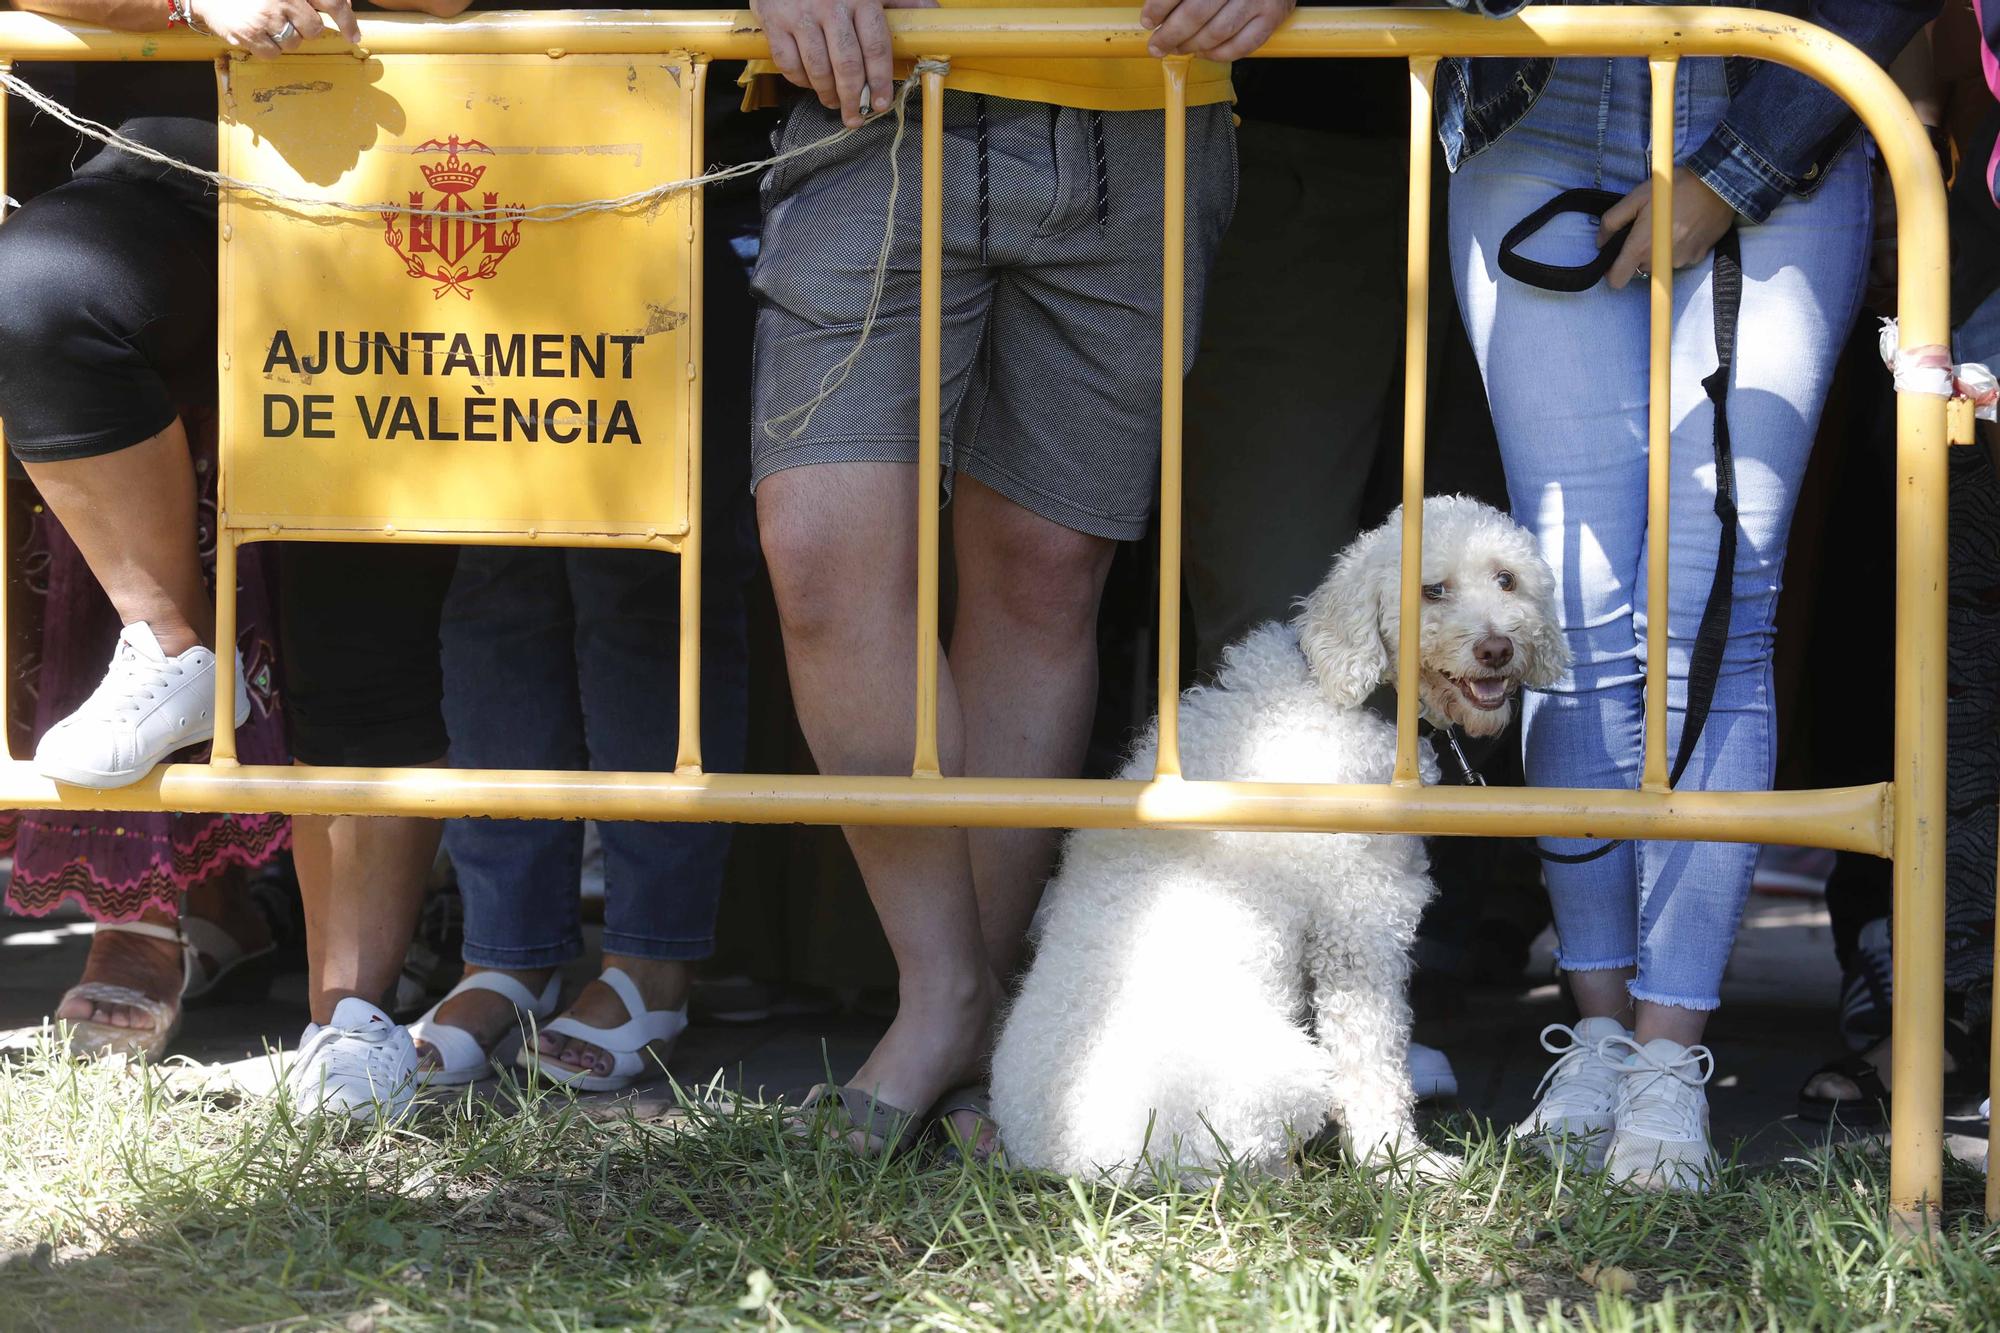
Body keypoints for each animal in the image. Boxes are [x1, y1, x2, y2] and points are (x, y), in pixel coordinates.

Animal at [992, 496, 1568, 1176]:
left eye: (1507, 579)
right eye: (1432, 590)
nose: (1498, 648)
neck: (1341, 694)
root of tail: (1065, 1158)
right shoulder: (1360, 928)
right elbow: (1372, 1063)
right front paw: (1399, 1161)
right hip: (1280, 1078)